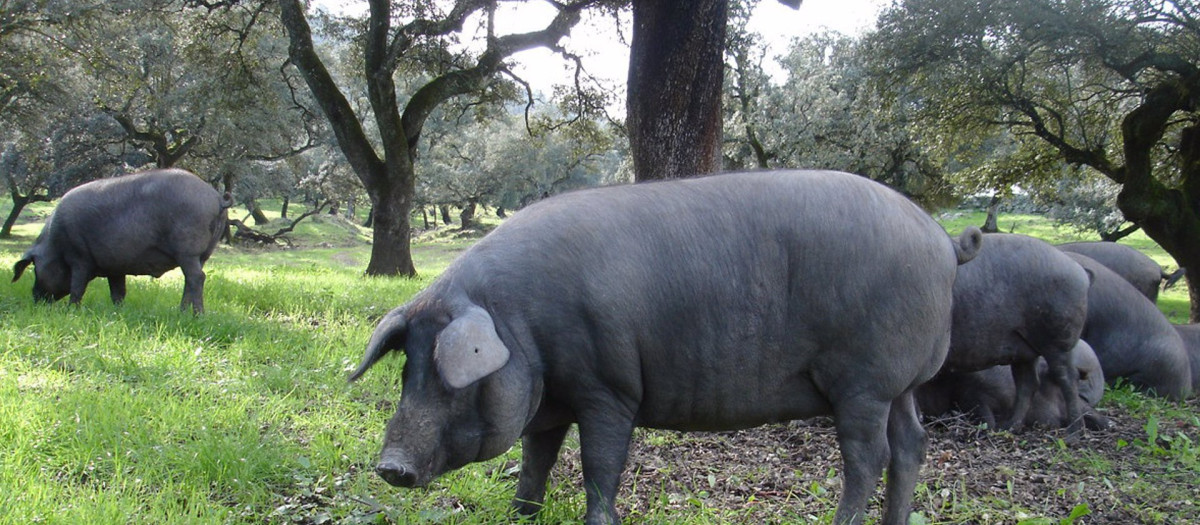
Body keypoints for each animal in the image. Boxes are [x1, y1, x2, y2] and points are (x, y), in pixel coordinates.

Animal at [11, 170, 230, 314]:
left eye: (35, 269)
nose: (35, 297)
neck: (55, 244)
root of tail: (217, 198)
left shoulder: (80, 256)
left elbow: (77, 286)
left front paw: (71, 310)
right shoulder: (114, 267)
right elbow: (118, 292)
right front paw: (118, 312)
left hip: (187, 249)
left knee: (197, 277)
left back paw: (197, 315)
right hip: (203, 254)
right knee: (190, 279)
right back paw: (181, 312)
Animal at [350, 169, 984, 525]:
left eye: (452, 378)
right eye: (406, 372)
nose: (389, 466)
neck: (519, 323)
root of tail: (943, 241)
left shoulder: (608, 389)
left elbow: (599, 468)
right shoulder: (548, 404)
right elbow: (534, 464)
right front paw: (519, 517)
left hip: (863, 383)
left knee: (869, 456)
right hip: (901, 384)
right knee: (912, 446)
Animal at [940, 233, 1094, 433]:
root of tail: (1080, 271)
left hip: (1059, 337)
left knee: (1068, 378)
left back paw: (1072, 434)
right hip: (1024, 349)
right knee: (1029, 383)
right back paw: (1008, 427)